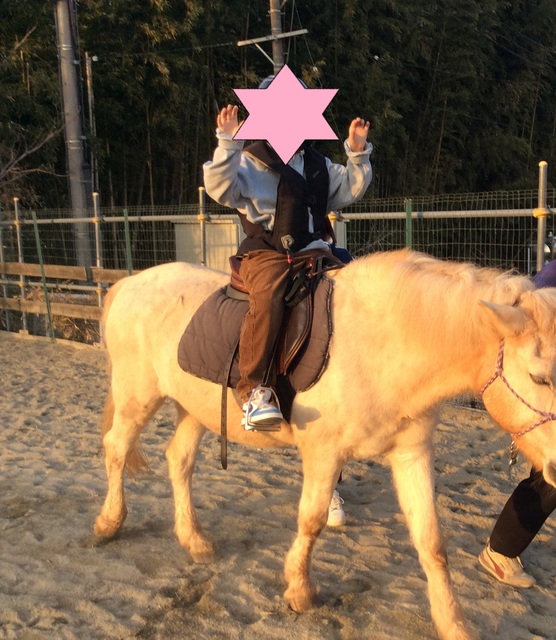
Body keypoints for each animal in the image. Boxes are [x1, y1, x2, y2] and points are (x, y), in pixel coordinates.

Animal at [94, 248, 556, 640]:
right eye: (540, 377)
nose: (555, 468)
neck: (382, 346)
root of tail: (129, 283)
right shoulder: (324, 453)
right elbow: (311, 520)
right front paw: (300, 591)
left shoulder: (412, 455)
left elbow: (432, 543)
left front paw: (453, 624)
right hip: (138, 397)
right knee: (116, 447)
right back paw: (109, 524)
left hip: (194, 408)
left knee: (179, 460)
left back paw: (194, 540)